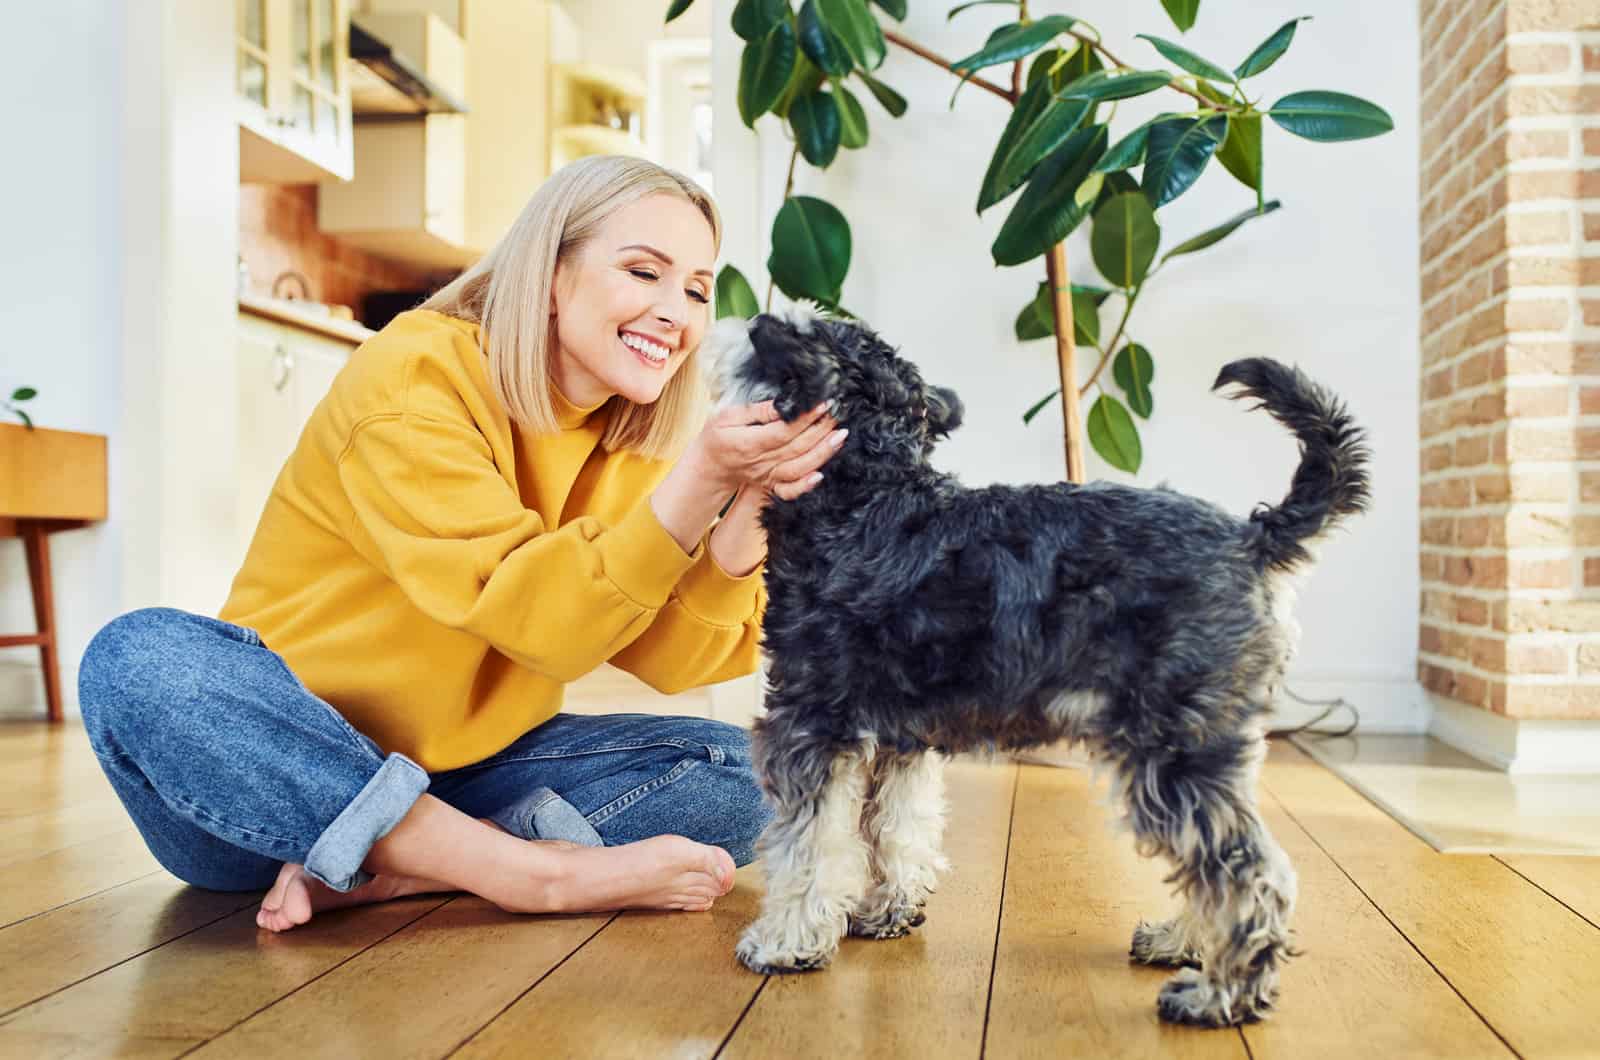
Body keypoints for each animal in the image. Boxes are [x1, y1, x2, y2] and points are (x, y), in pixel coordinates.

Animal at [707, 305, 1369, 1031]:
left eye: (791, 328)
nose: (736, 316)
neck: (865, 494)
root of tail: (1255, 539)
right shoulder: (901, 737)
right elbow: (899, 826)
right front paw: (892, 909)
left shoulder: (812, 724)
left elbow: (808, 843)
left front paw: (784, 942)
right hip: (1206, 747)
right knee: (1218, 857)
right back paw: (1180, 943)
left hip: (1172, 748)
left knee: (1248, 871)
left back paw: (1220, 995)